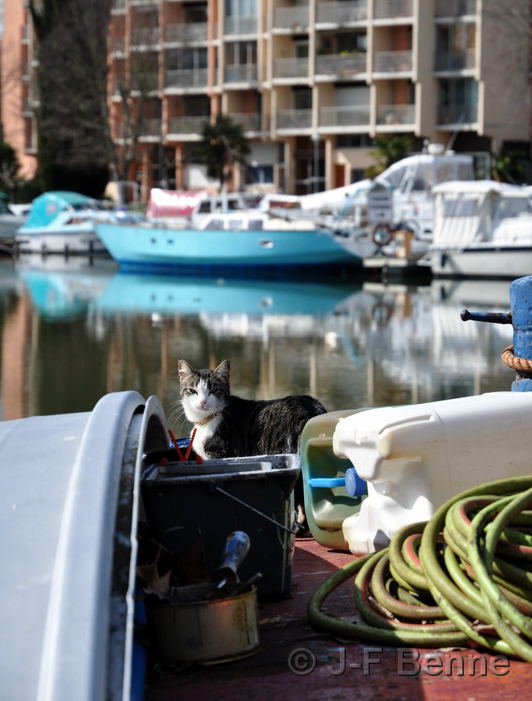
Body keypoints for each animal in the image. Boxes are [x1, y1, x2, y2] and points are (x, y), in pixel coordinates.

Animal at [177, 358, 326, 528]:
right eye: (192, 390)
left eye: (213, 390)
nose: (202, 402)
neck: (206, 422)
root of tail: (313, 410)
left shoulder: (218, 455)